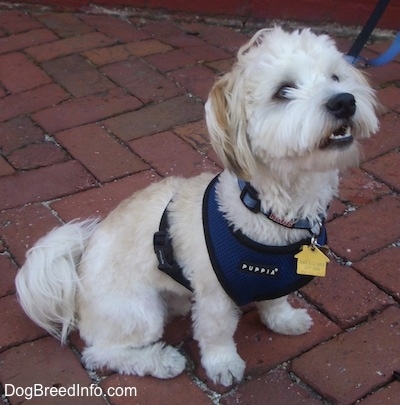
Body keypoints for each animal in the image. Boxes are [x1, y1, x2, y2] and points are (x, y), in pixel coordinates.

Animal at [15, 26, 378, 386]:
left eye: (336, 77)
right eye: (283, 90)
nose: (344, 101)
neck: (267, 209)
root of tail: (77, 274)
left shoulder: (274, 280)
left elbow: (275, 303)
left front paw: (284, 321)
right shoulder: (214, 296)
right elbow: (216, 334)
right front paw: (223, 364)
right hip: (138, 311)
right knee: (101, 352)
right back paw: (160, 361)